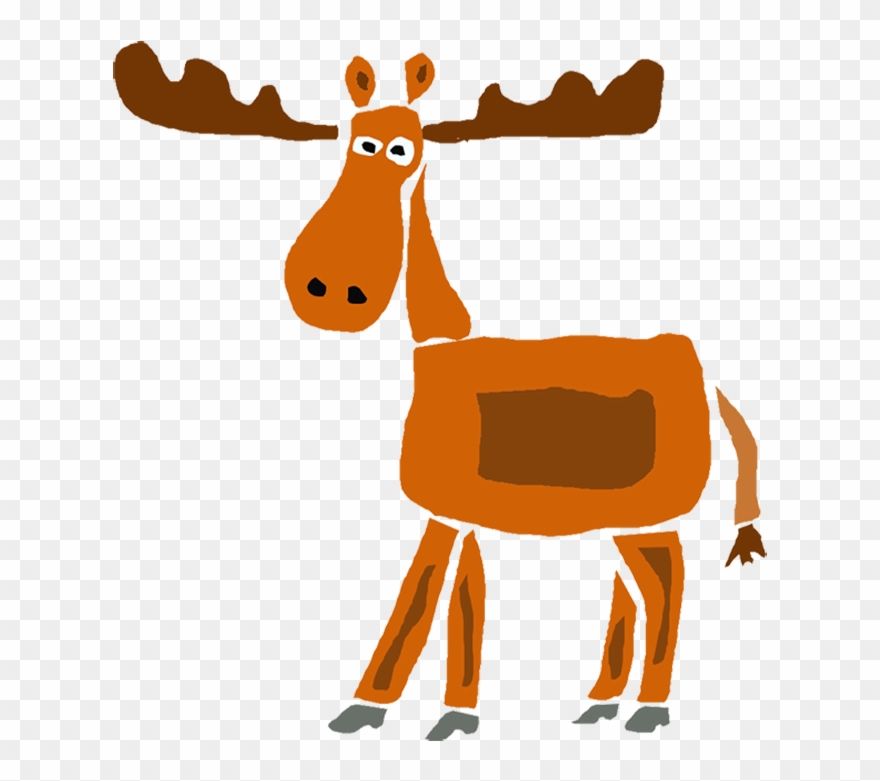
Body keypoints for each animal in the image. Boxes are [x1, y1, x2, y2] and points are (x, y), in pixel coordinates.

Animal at [114, 42, 768, 741]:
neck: (438, 348)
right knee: (638, 587)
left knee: (666, 584)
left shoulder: (445, 507)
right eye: (355, 141)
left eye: (403, 149)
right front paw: (453, 713)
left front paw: (369, 706)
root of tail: (704, 371)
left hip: (648, 514)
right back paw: (600, 701)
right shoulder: (459, 513)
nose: (332, 289)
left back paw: (649, 709)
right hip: (622, 520)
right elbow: (458, 597)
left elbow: (420, 595)